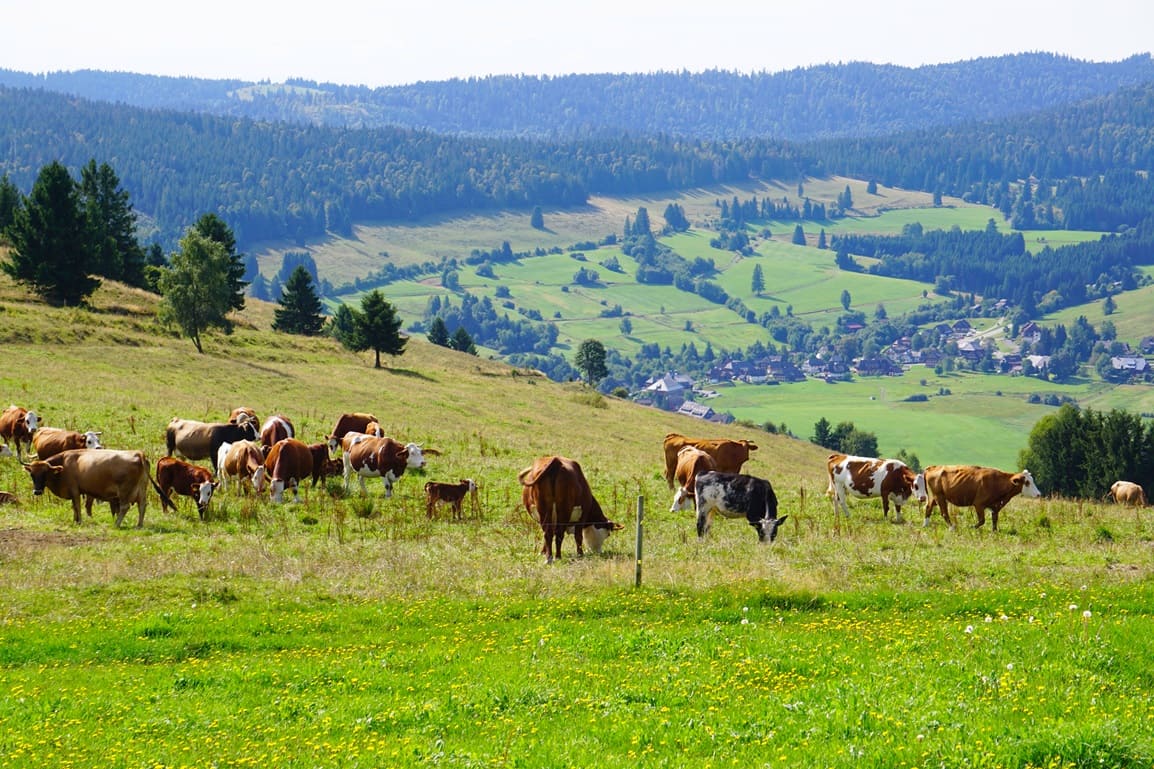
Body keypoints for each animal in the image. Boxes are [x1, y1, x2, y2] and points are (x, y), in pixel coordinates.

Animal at [21, 449, 165, 526]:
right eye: (32, 474)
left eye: (45, 473)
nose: (37, 491)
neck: (64, 463)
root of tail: (138, 453)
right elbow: (74, 507)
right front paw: (75, 520)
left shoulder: (75, 490)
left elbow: (77, 506)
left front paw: (79, 521)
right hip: (141, 490)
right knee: (142, 506)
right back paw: (139, 525)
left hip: (125, 491)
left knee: (125, 507)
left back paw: (116, 524)